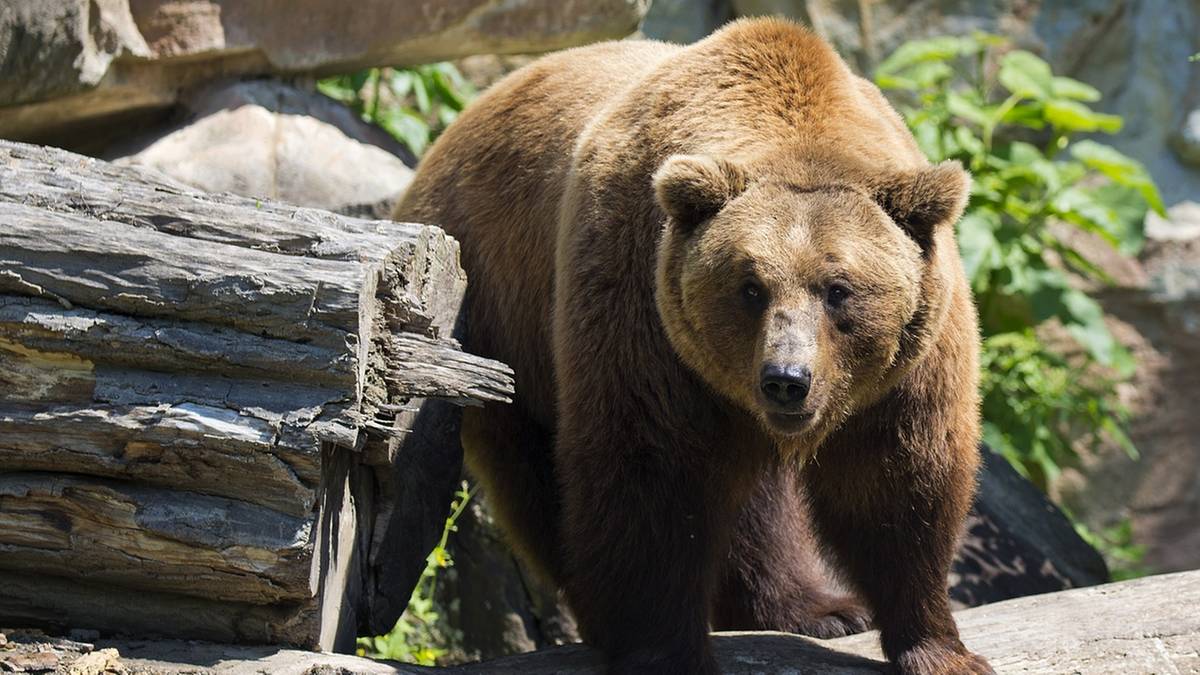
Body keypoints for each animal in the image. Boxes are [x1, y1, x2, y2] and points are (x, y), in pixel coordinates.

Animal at [398, 17, 988, 672]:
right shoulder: (642, 307)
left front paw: (938, 645)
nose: (787, 379)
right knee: (539, 481)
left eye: (839, 289)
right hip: (500, 318)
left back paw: (818, 609)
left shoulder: (907, 367)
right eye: (750, 287)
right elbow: (652, 473)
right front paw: (664, 648)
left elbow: (899, 482)